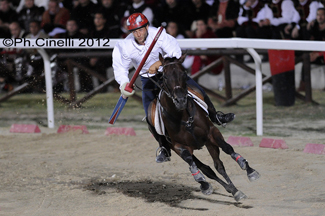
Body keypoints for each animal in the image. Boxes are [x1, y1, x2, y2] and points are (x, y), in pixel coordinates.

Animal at [149, 53, 258, 202]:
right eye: (164, 76)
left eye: (184, 74)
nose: (181, 100)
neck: (183, 117)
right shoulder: (178, 146)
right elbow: (193, 164)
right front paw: (204, 183)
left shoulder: (211, 133)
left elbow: (227, 148)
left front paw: (247, 168)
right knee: (207, 168)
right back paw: (229, 189)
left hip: (209, 143)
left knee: (218, 165)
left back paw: (234, 189)